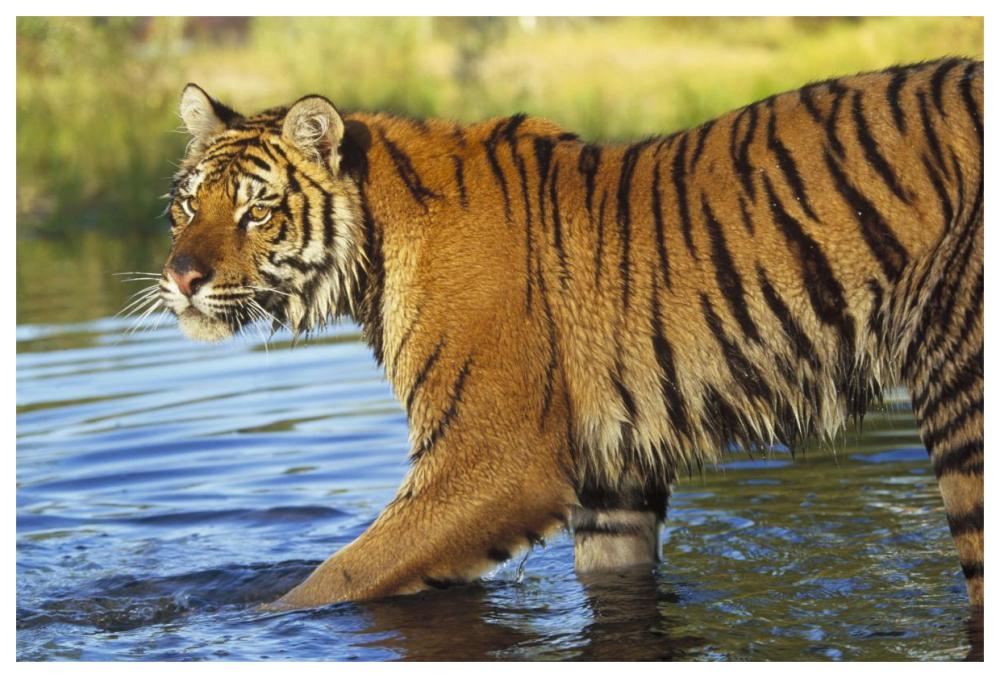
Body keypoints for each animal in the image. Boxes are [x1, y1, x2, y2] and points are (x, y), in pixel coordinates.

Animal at [158, 57, 984, 610]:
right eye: (186, 206)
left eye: (255, 212)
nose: (181, 277)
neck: (374, 254)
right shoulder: (614, 472)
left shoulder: (493, 459)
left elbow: (337, 577)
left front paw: (252, 618)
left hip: (962, 394)